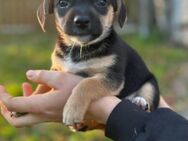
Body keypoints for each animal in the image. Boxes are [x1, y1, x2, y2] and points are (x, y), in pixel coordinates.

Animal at [35, 0, 160, 130]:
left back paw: (140, 102)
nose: (81, 21)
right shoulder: (56, 68)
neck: (79, 47)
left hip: (151, 84)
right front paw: (34, 96)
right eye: (62, 3)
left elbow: (86, 84)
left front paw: (72, 110)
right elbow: (42, 86)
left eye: (101, 2)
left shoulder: (112, 76)